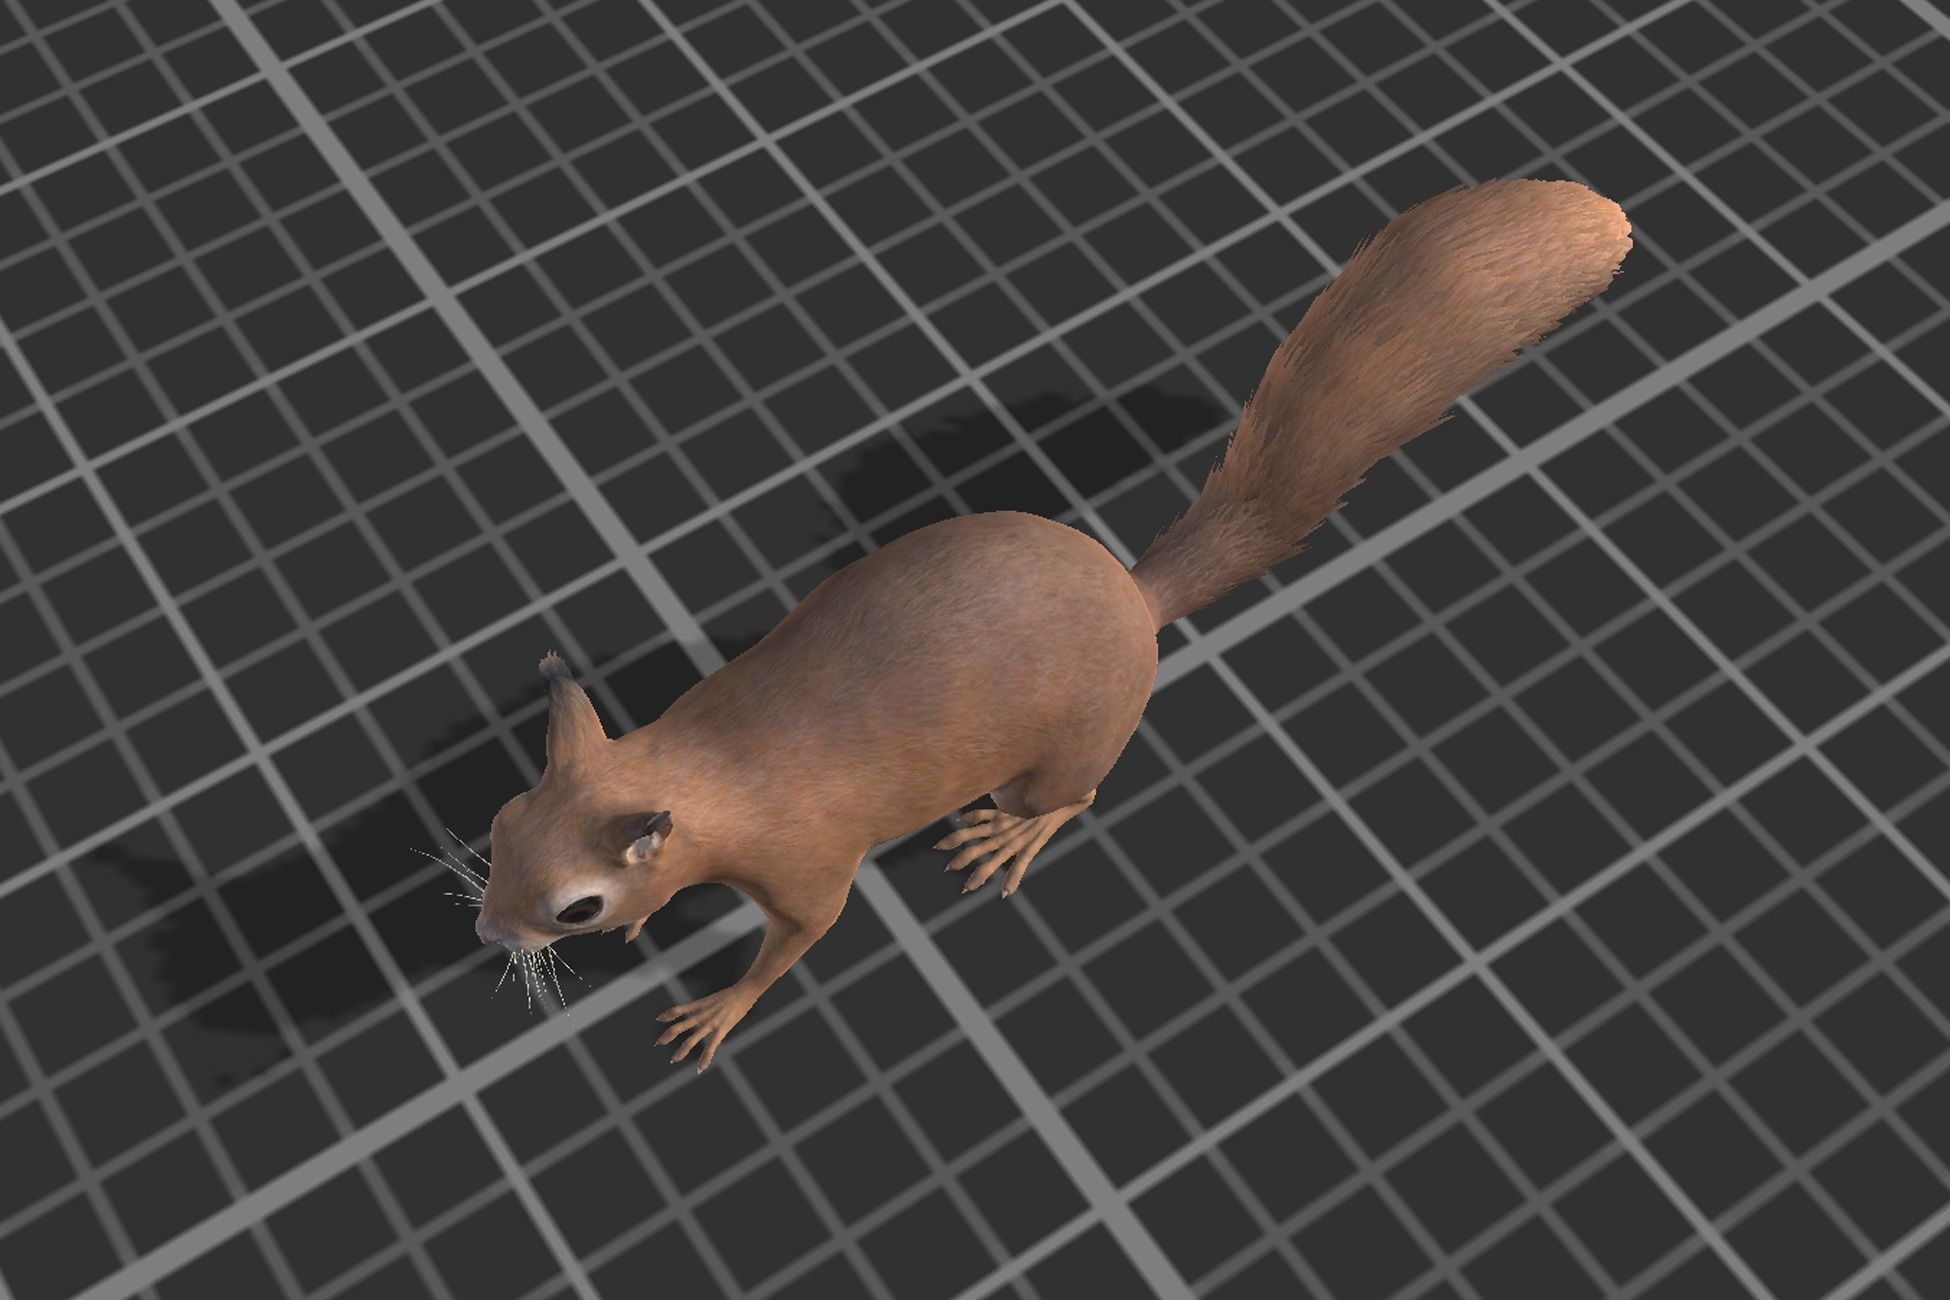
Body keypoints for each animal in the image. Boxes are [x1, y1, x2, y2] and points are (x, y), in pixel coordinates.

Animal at [472, 179, 1633, 1071]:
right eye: (500, 824)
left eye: (573, 909)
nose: (484, 929)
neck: (700, 765)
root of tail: (1134, 597)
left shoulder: (807, 861)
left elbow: (803, 935)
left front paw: (718, 1009)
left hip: (1073, 742)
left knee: (1076, 797)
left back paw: (1012, 832)